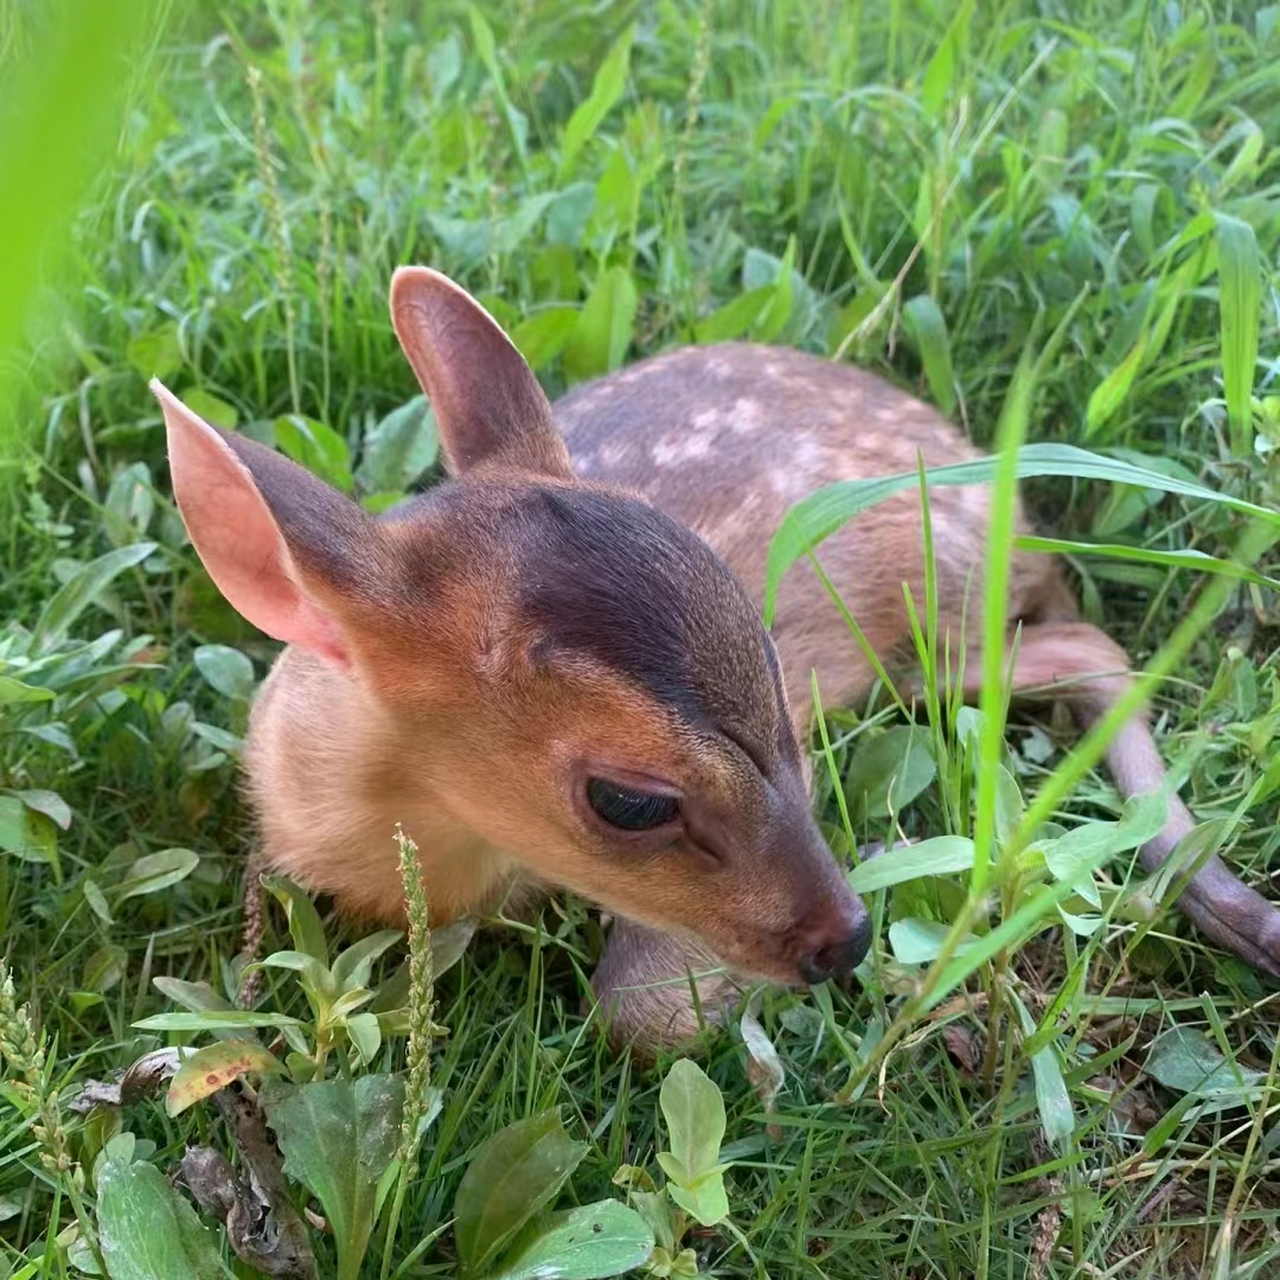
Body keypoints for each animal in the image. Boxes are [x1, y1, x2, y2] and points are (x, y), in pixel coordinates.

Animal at [151, 266, 1280, 1054]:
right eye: (629, 800)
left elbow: (640, 1014)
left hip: (922, 623)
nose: (846, 935)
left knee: (1092, 642)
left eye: (772, 671)